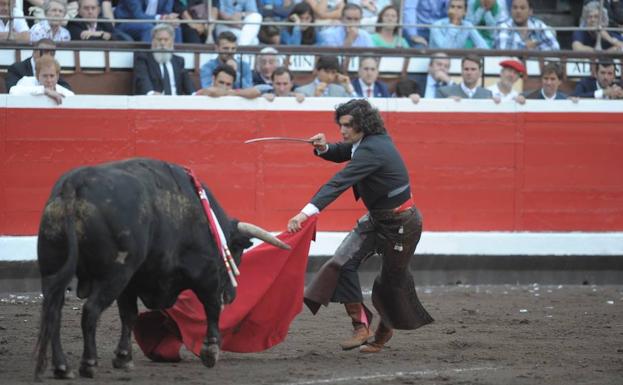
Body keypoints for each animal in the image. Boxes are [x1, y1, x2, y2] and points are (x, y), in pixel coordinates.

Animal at [33, 158, 288, 380]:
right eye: (236, 252)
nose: (232, 296)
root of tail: (73, 186)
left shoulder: (132, 282)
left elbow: (129, 315)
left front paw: (123, 358)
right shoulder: (206, 274)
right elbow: (211, 307)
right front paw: (210, 351)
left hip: (54, 269)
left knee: (53, 312)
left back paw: (62, 367)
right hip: (115, 273)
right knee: (90, 310)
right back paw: (88, 364)